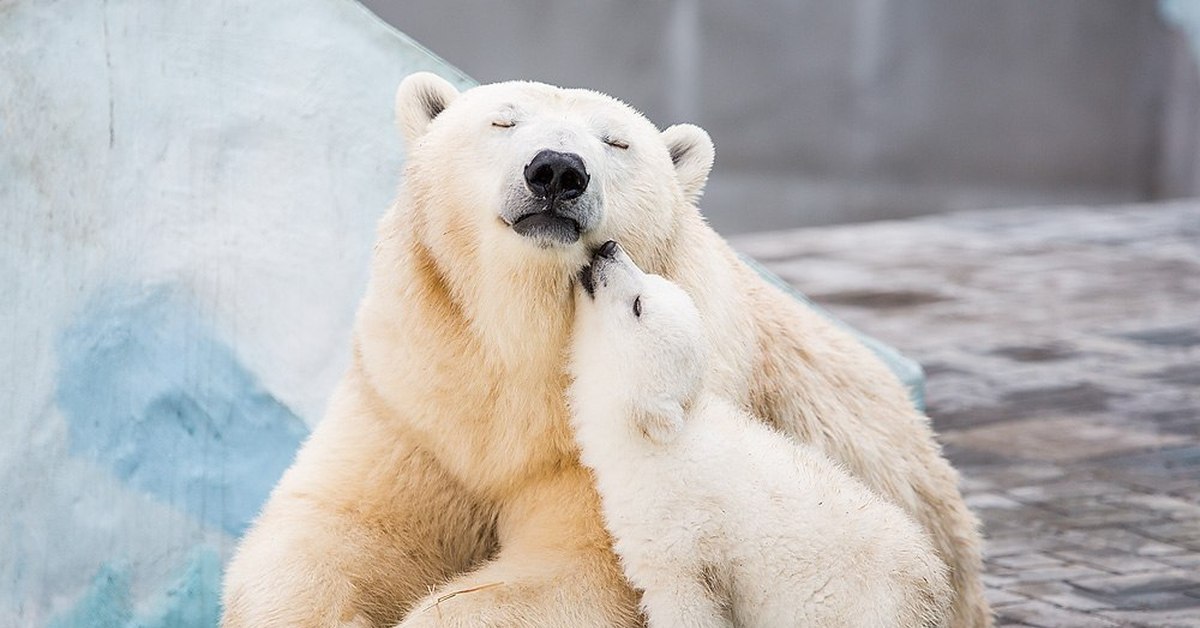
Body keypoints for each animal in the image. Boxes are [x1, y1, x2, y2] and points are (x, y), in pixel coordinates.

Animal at [566, 241, 950, 628]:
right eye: (651, 280)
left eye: (638, 305)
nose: (609, 247)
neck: (658, 439)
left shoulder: (676, 532)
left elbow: (685, 600)